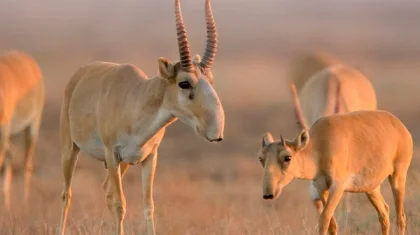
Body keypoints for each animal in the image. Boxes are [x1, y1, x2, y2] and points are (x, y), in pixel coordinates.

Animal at [57, 0, 225, 235]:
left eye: (210, 79)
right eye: (184, 83)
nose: (216, 131)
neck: (136, 101)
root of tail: (79, 74)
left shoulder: (149, 158)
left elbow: (148, 206)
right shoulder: (112, 155)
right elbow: (120, 205)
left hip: (124, 164)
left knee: (106, 189)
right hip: (70, 149)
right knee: (67, 194)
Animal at [258, 109, 412, 234]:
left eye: (287, 157)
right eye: (261, 158)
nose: (268, 194)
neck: (319, 146)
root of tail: (399, 125)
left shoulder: (337, 187)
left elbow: (324, 218)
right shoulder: (321, 188)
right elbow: (331, 223)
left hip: (398, 176)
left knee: (400, 217)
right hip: (371, 188)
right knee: (384, 213)